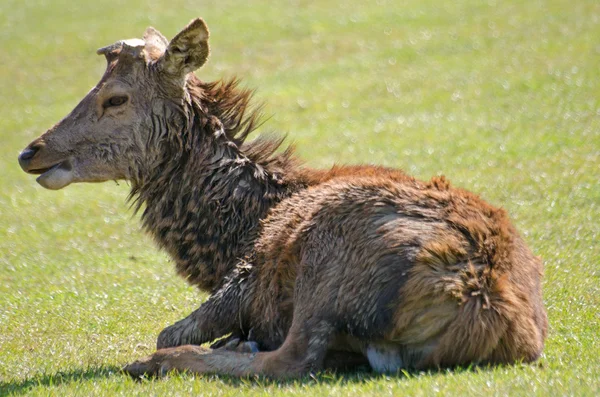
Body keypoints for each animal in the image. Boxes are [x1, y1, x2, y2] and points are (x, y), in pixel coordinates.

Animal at [16, 18, 548, 378]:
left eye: (116, 98)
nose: (29, 151)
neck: (238, 231)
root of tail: (484, 305)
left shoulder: (247, 274)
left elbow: (172, 327)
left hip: (327, 260)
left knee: (290, 360)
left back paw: (167, 360)